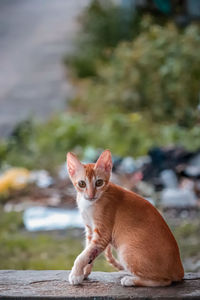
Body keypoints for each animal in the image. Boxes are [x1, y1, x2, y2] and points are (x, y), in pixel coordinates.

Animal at [66, 150, 184, 286]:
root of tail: (180, 270)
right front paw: (84, 273)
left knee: (165, 281)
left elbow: (83, 256)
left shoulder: (102, 235)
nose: (91, 195)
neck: (89, 204)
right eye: (82, 184)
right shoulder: (90, 230)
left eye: (99, 183)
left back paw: (131, 280)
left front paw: (75, 275)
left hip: (126, 251)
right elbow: (89, 252)